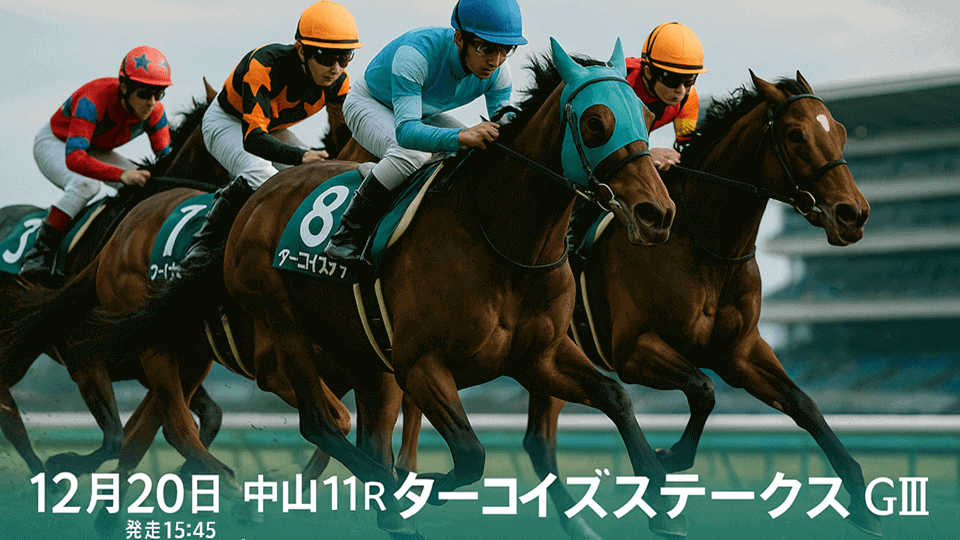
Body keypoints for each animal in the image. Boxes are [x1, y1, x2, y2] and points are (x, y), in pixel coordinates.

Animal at [70, 40, 684, 539]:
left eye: (642, 114)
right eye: (596, 123)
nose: (656, 214)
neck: (503, 241)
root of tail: (255, 199)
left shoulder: (540, 354)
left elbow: (617, 398)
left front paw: (660, 499)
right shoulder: (420, 363)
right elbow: (470, 456)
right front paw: (414, 489)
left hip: (331, 357)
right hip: (274, 330)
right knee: (315, 424)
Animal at [521, 70, 878, 538]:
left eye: (839, 131)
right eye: (797, 134)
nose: (853, 214)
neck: (705, 246)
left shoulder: (739, 351)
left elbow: (804, 404)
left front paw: (861, 499)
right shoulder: (633, 351)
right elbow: (704, 390)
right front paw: (670, 459)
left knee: (539, 442)